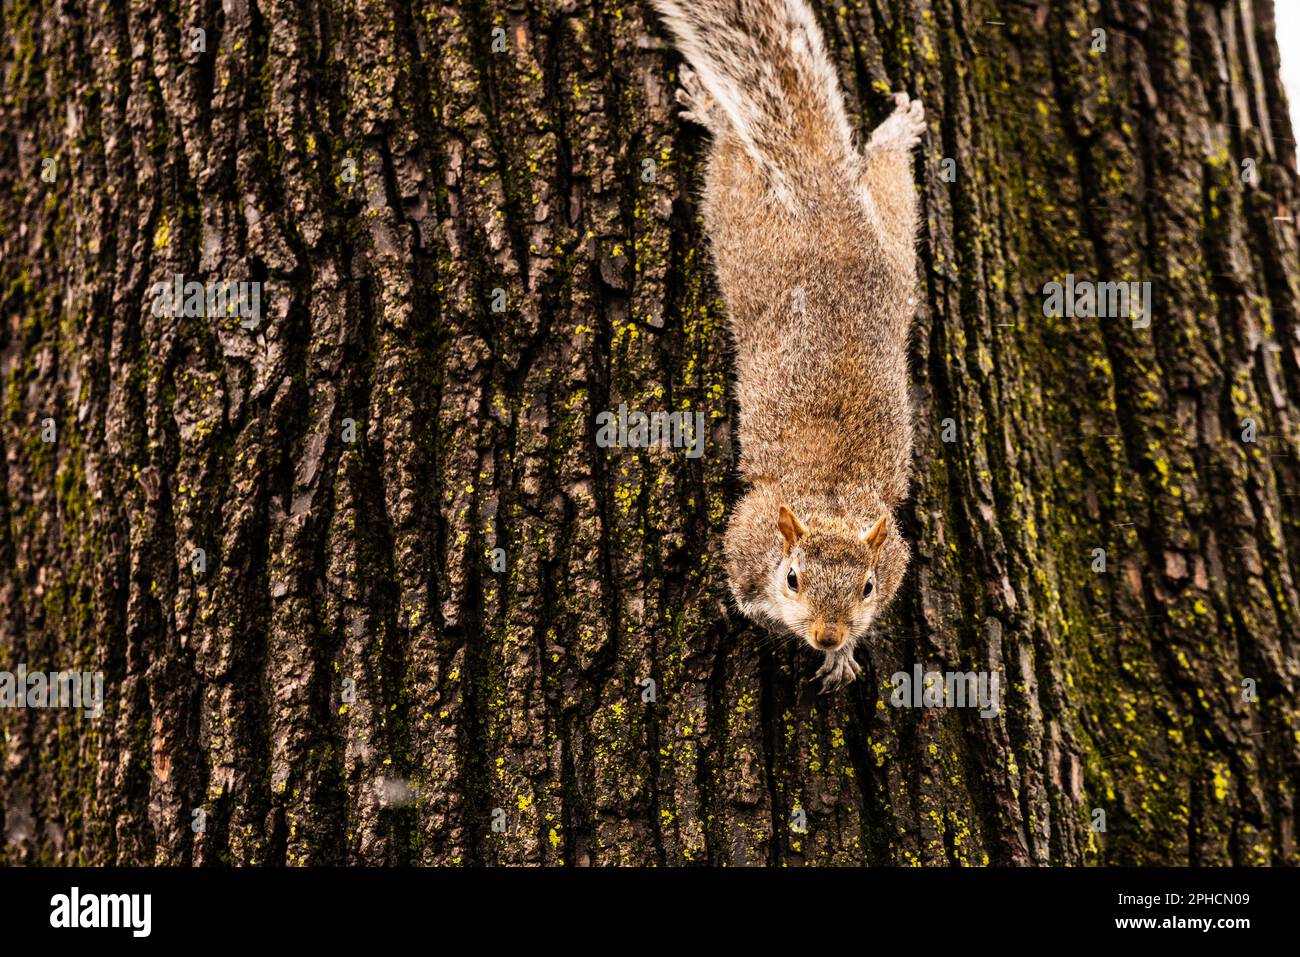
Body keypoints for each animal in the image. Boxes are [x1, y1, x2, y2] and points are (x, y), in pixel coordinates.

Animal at [650, 0, 925, 686]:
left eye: (869, 588)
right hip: (742, 212)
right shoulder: (746, 533)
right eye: (794, 579)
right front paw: (773, 620)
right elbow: (743, 594)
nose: (828, 635)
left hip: (893, 241)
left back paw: (896, 133)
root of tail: (823, 198)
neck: (828, 504)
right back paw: (711, 110)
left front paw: (845, 655)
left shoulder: (895, 548)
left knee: (889, 181)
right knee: (731, 151)